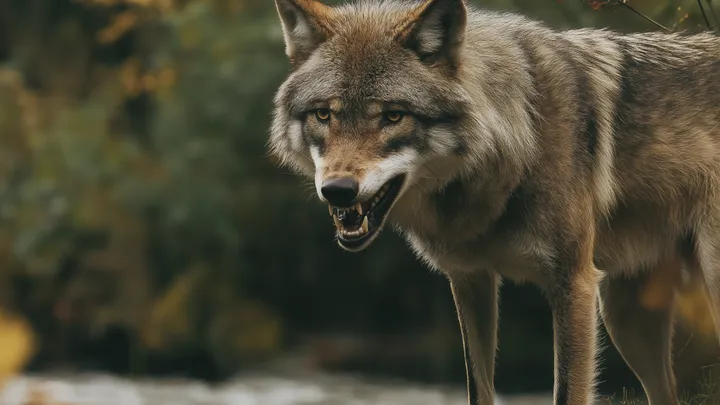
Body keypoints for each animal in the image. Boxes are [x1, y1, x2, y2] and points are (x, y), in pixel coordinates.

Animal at [267, 0, 720, 404]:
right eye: (324, 115)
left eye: (393, 116)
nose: (337, 190)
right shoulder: (470, 280)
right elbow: (478, 388)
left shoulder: (573, 283)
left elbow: (566, 392)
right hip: (627, 320)